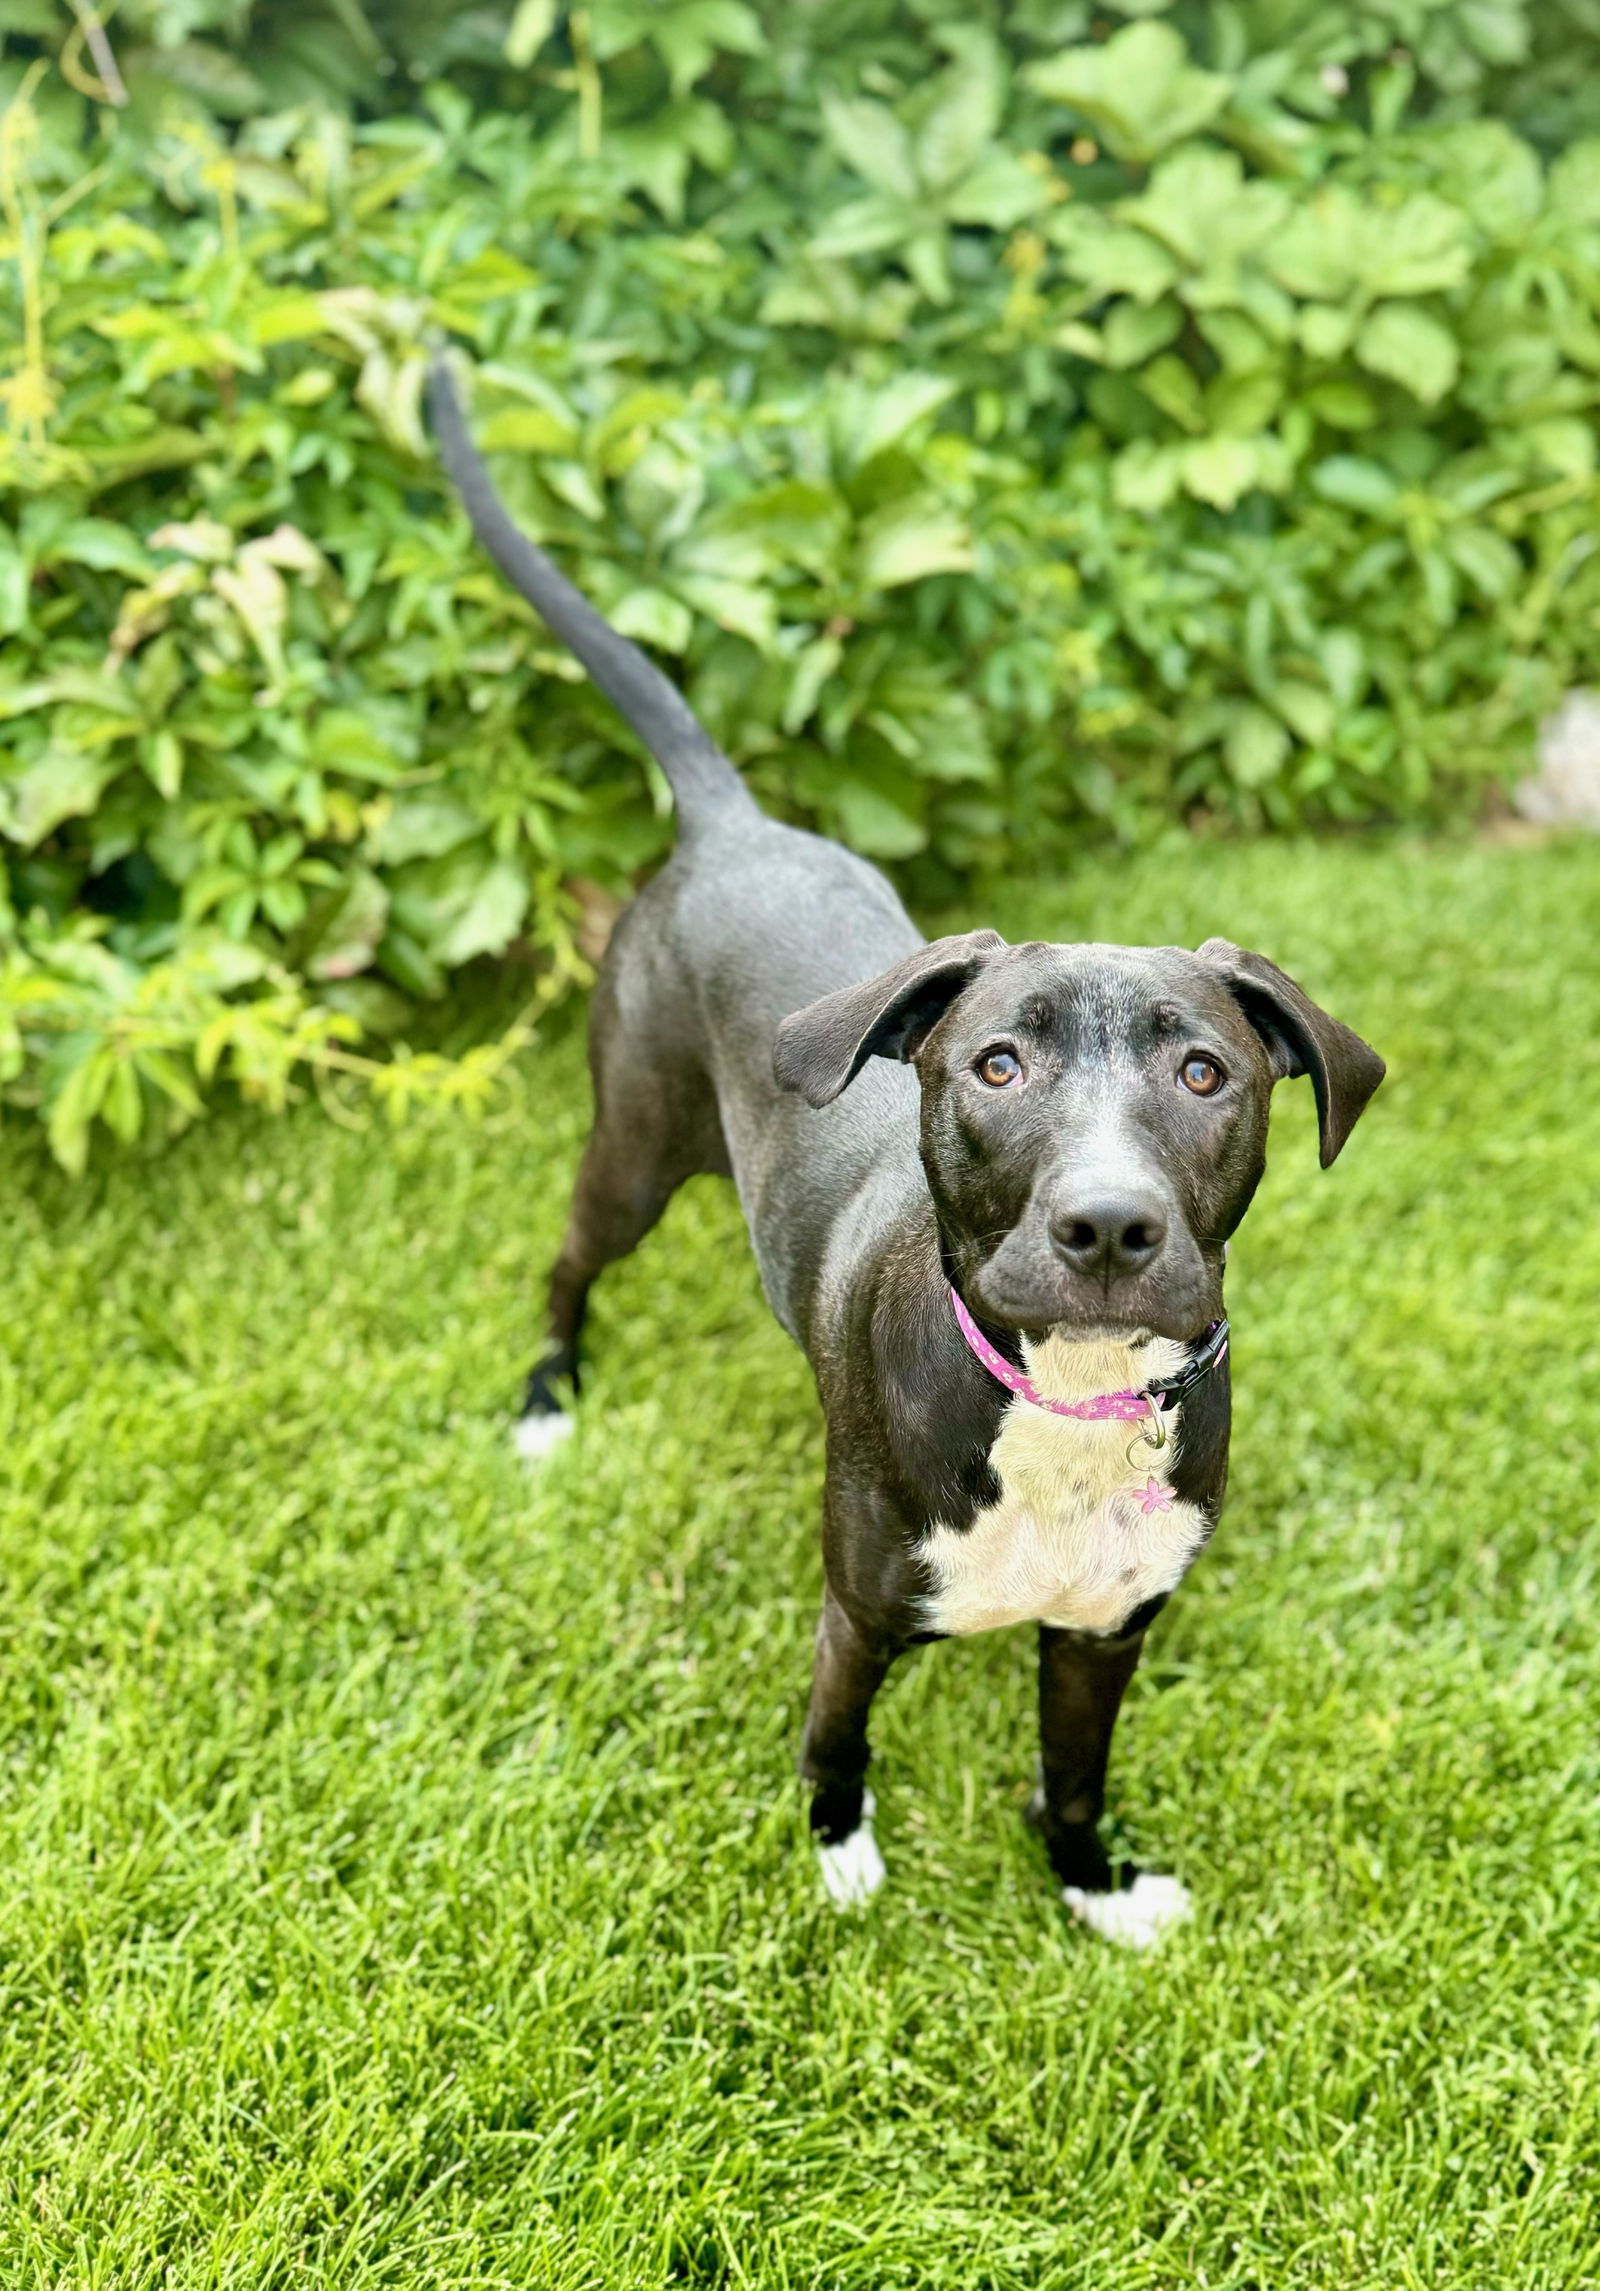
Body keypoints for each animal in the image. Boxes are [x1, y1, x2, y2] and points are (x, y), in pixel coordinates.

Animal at [430, 361, 1375, 1951]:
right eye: (998, 1063)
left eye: (1204, 1072)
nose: (1108, 1228)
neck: (1066, 1401)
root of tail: (735, 823)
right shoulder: (859, 1609)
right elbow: (835, 1736)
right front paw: (837, 1852)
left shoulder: (1108, 1629)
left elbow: (1070, 1777)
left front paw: (1095, 1889)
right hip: (631, 1150)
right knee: (568, 1260)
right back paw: (549, 1400)